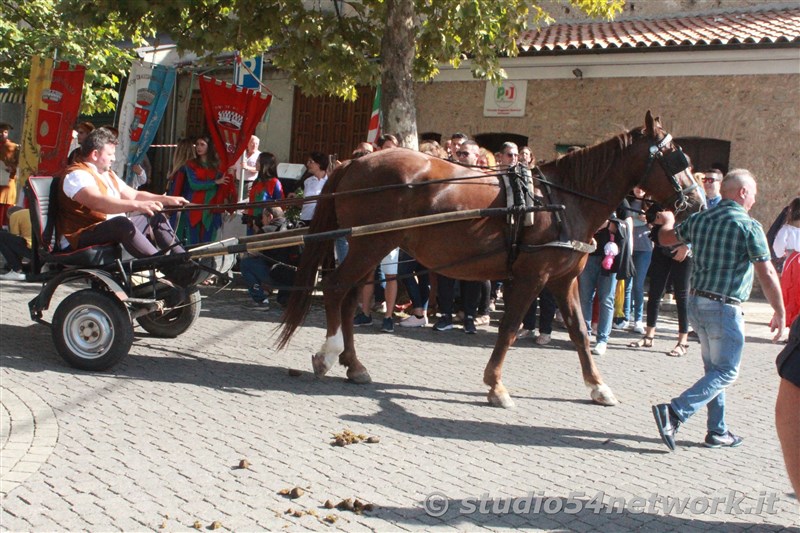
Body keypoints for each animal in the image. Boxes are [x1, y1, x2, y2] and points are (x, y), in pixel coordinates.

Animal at [278, 110, 704, 406]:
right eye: (676, 156)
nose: (697, 201)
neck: (563, 200)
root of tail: (354, 162)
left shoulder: (563, 280)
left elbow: (580, 332)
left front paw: (598, 387)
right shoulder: (533, 277)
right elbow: (511, 328)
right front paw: (496, 386)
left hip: (372, 247)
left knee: (349, 298)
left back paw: (354, 364)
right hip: (369, 244)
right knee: (337, 290)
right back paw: (329, 355)